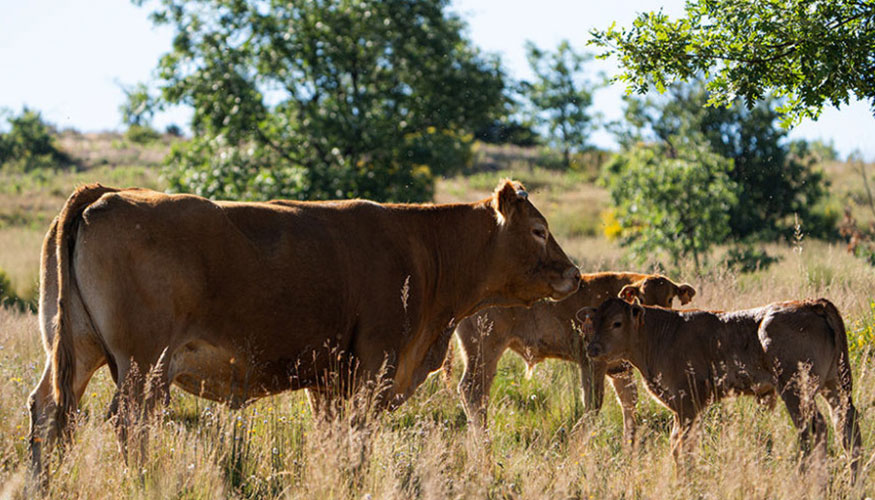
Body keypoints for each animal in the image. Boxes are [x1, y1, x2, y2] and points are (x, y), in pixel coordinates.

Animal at [25, 181, 580, 480]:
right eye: (538, 230)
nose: (573, 273)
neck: (422, 249)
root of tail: (107, 194)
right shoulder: (373, 367)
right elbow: (356, 439)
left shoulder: (328, 378)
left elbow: (330, 437)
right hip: (143, 366)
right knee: (128, 423)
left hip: (73, 349)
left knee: (49, 410)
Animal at [448, 272, 696, 440]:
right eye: (641, 297)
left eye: (670, 298)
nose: (656, 314)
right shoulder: (592, 363)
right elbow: (593, 403)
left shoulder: (620, 370)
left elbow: (629, 404)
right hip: (484, 351)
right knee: (472, 390)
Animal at [580, 296, 864, 472]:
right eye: (593, 323)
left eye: (617, 323)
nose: (593, 348)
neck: (659, 334)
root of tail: (811, 304)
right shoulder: (682, 408)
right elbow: (676, 444)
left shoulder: (688, 403)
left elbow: (683, 445)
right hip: (834, 385)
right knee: (845, 424)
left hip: (796, 391)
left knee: (814, 428)